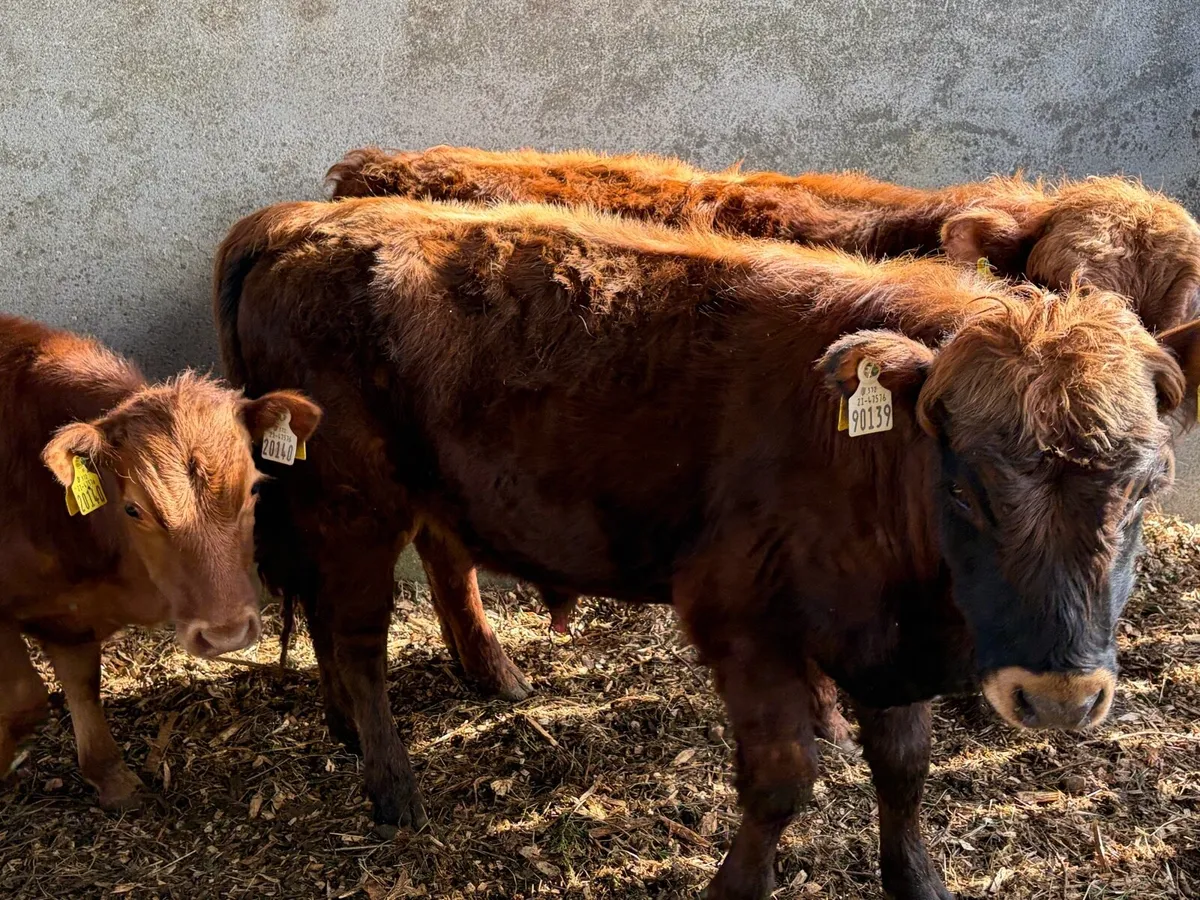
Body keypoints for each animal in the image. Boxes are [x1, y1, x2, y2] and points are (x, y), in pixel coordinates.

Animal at [0, 315, 320, 809]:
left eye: (253, 487)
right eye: (134, 509)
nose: (226, 634)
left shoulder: (68, 616)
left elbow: (82, 685)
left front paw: (109, 775)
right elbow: (22, 699)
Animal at [214, 195, 1200, 900]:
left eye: (1148, 487)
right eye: (964, 488)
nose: (1059, 696)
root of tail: (297, 221)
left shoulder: (884, 643)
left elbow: (906, 771)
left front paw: (917, 882)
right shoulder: (743, 621)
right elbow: (783, 779)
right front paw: (738, 884)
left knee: (378, 597)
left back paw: (425, 700)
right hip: (352, 500)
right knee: (358, 634)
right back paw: (392, 784)